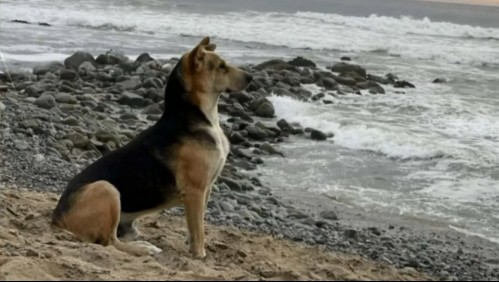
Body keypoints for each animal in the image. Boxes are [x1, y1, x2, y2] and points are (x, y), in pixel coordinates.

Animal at [50, 36, 252, 258]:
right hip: (107, 188)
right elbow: (198, 229)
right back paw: (144, 248)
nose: (251, 77)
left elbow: (195, 226)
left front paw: (191, 244)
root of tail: (57, 216)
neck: (197, 117)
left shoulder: (205, 189)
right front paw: (199, 254)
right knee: (109, 242)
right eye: (221, 66)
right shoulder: (196, 191)